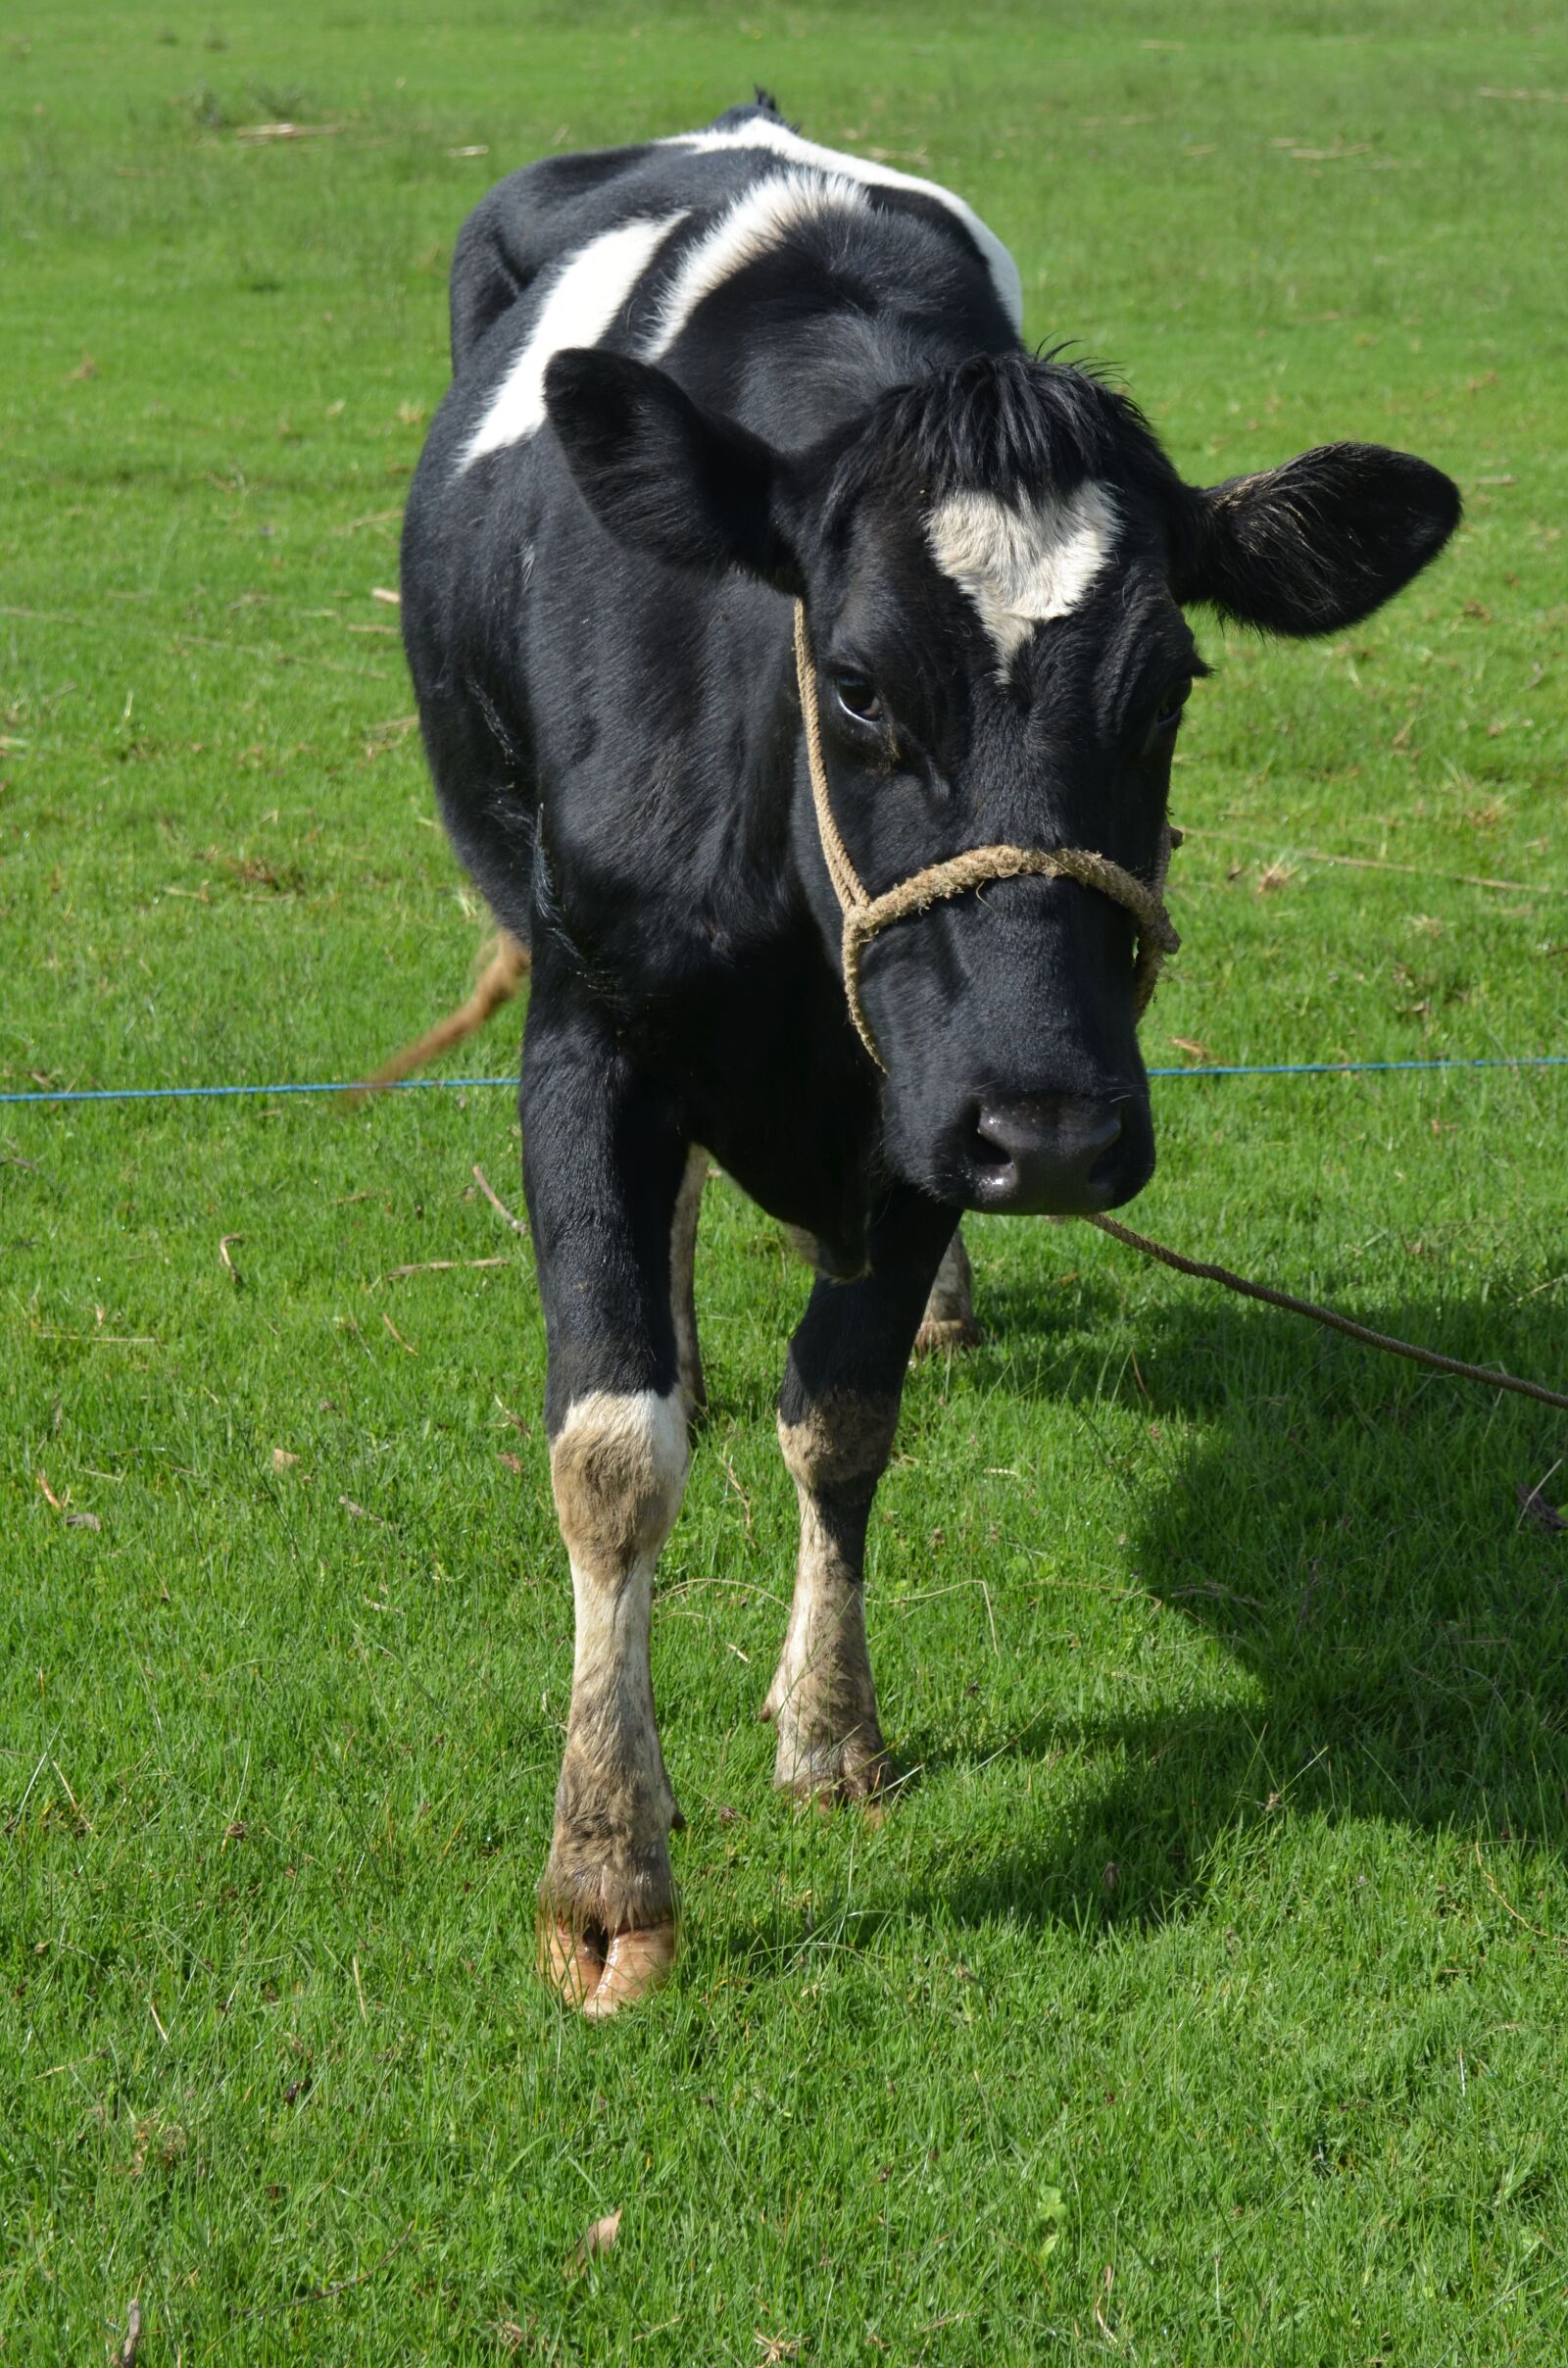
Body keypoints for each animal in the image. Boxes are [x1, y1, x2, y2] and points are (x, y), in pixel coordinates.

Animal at [399, 95, 1460, 2016]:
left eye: (1169, 689)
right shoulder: (591, 1026)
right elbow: (611, 1452)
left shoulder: (924, 1115)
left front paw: (830, 1723)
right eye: (859, 682)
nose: (1054, 1137)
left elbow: (846, 1411)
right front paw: (606, 1872)